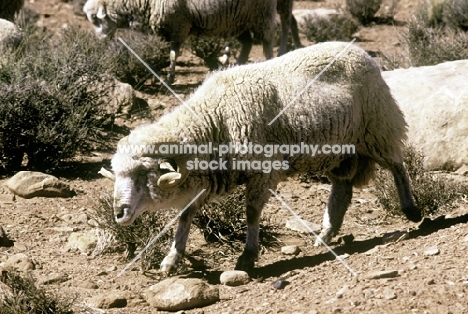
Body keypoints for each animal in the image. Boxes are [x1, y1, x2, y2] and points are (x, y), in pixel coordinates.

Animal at [82, 0, 278, 83]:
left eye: (96, 19)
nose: (99, 41)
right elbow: (168, 51)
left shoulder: (178, 24)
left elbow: (173, 52)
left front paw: (169, 78)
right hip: (237, 20)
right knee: (248, 42)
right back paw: (237, 65)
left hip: (261, 14)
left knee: (267, 41)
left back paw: (269, 63)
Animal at [111, 41, 422, 272]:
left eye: (143, 173)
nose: (118, 213)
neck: (214, 119)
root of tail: (358, 49)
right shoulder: (200, 181)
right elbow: (185, 218)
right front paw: (171, 259)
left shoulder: (263, 170)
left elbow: (250, 213)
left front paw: (247, 257)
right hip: (340, 150)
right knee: (342, 190)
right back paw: (326, 234)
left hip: (377, 125)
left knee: (397, 165)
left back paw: (411, 209)